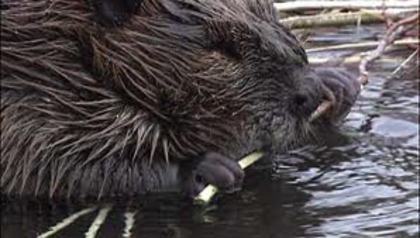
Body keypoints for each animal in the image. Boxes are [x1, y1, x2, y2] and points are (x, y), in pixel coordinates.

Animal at [0, 0, 360, 200]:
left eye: (274, 17)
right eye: (222, 47)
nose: (307, 94)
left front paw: (337, 83)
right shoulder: (24, 100)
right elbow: (44, 168)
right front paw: (206, 169)